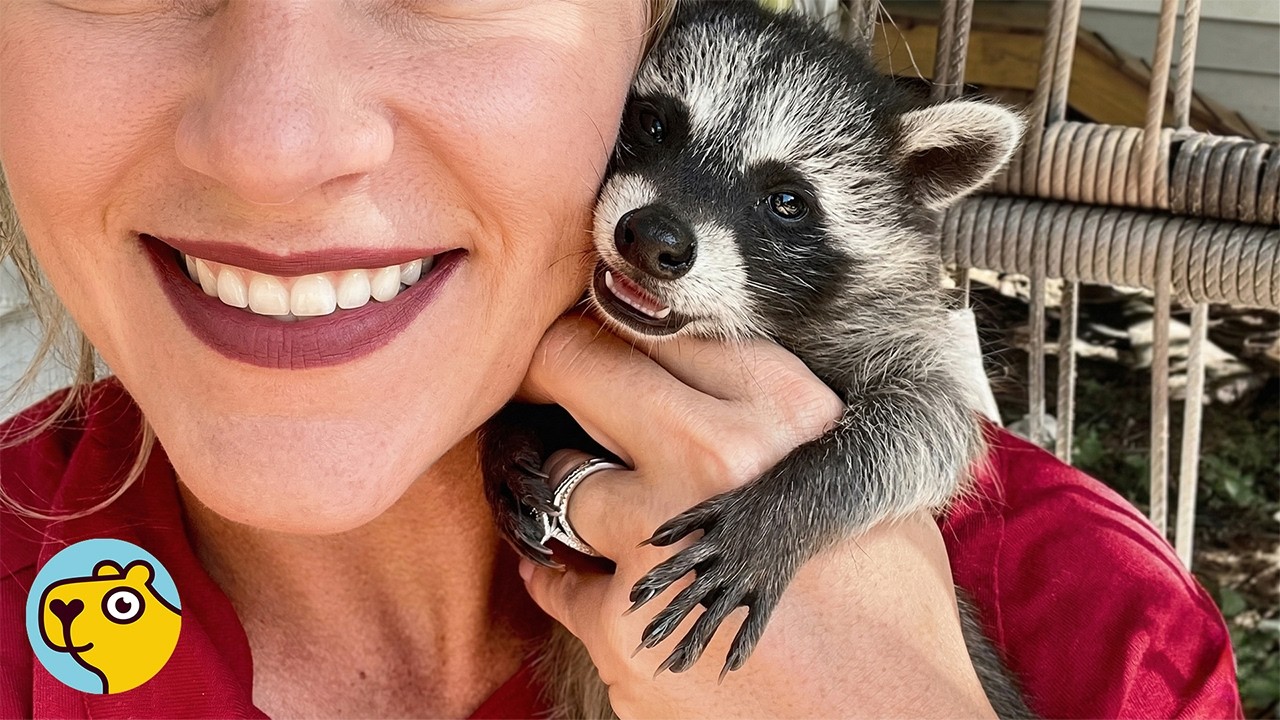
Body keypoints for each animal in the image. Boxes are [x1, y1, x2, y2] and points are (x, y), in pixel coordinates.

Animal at [480, 2, 1031, 717]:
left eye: (787, 201)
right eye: (652, 124)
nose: (652, 239)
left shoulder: (898, 337)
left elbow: (929, 428)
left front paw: (790, 504)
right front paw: (508, 435)